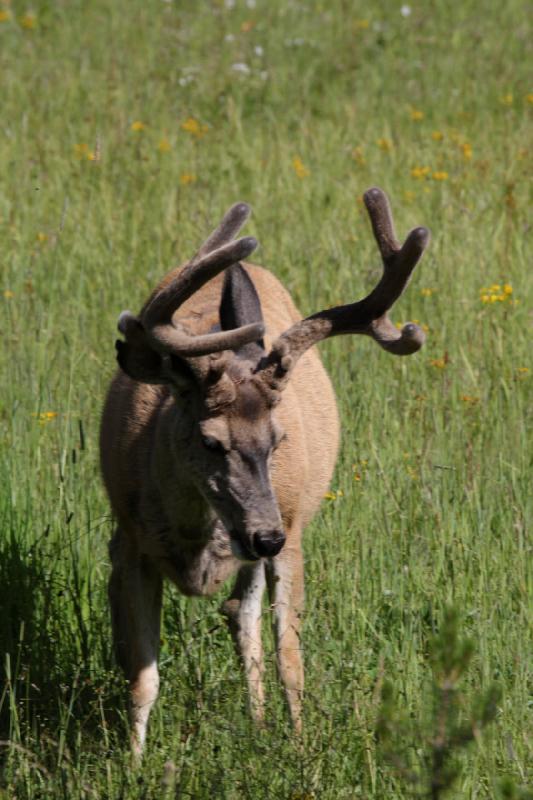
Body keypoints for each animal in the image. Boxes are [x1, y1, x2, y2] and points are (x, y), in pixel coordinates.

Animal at [100, 186, 428, 752]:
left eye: (278, 441)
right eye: (210, 441)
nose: (265, 535)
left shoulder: (291, 529)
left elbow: (290, 660)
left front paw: (299, 748)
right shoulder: (132, 540)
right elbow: (142, 677)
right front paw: (131, 760)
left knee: (246, 617)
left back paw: (259, 725)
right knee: (229, 613)